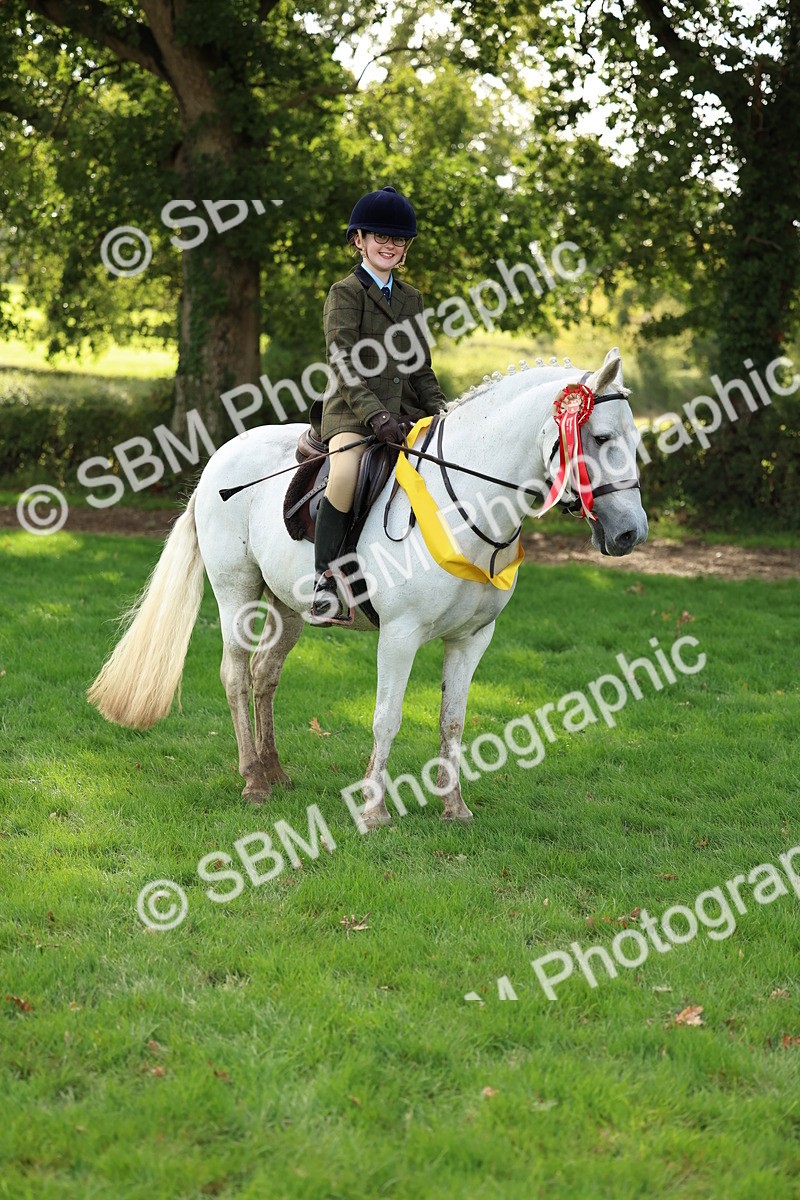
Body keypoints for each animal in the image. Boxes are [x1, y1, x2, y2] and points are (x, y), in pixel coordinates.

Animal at [88, 348, 648, 829]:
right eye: (599, 438)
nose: (630, 534)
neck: (467, 504)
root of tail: (217, 463)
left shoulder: (472, 639)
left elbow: (453, 721)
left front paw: (455, 808)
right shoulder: (399, 634)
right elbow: (386, 719)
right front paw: (373, 811)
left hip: (288, 605)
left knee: (266, 674)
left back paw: (274, 771)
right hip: (236, 590)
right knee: (236, 675)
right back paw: (253, 781)